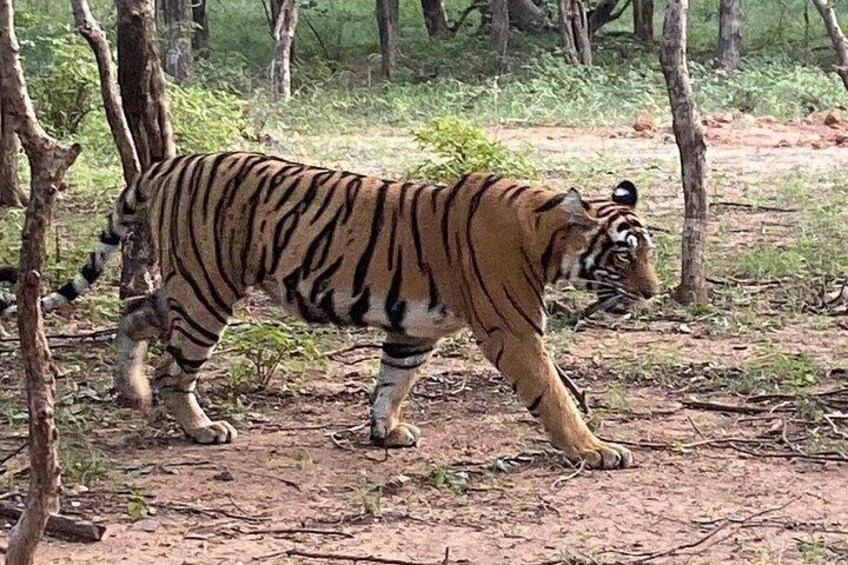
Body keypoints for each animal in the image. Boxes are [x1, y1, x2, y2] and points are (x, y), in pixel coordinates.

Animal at [0, 151, 659, 470]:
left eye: (648, 251)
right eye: (624, 255)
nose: (653, 293)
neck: (542, 238)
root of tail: (170, 162)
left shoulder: (414, 328)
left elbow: (393, 381)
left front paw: (386, 432)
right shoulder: (514, 332)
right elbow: (553, 395)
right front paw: (594, 451)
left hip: (188, 286)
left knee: (135, 310)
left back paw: (130, 389)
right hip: (209, 290)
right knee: (174, 369)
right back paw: (199, 428)